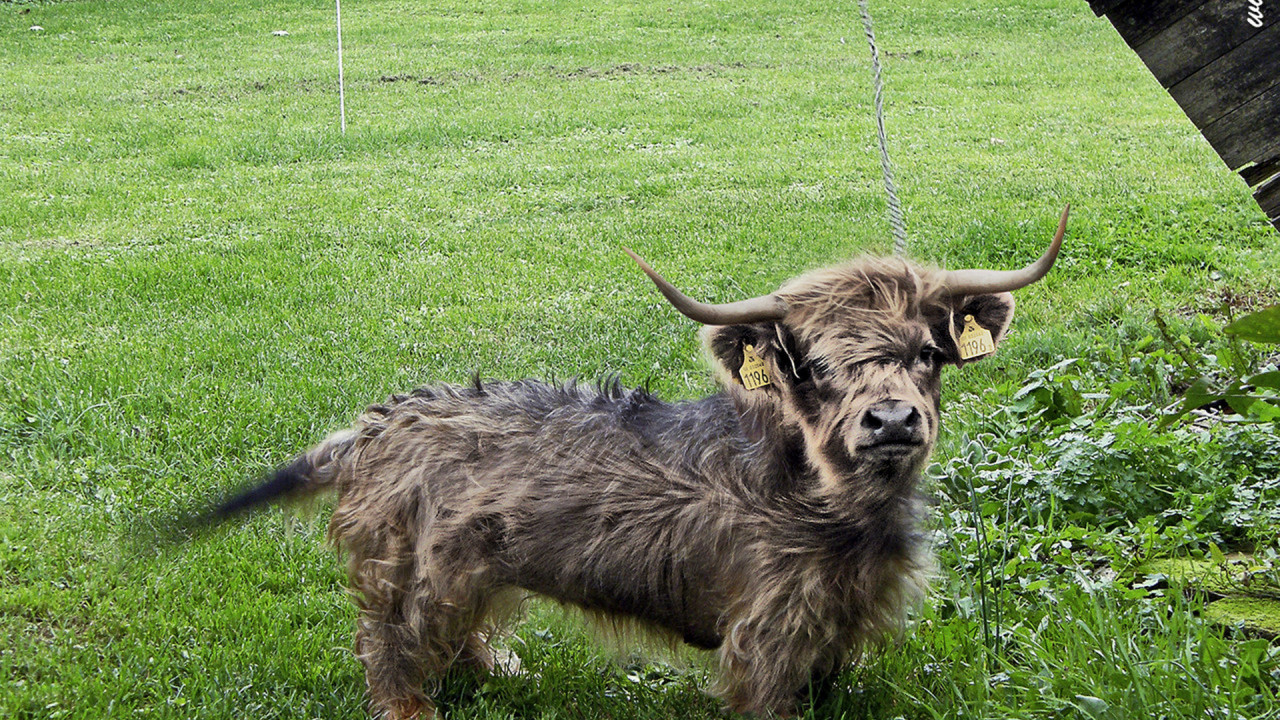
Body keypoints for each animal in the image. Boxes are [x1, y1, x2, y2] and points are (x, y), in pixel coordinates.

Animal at [209, 204, 1070, 712]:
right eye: (815, 365)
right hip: (410, 570)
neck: (831, 505)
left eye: (927, 352)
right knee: (389, 648)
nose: (890, 420)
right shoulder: (767, 634)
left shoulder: (838, 626)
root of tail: (378, 423)